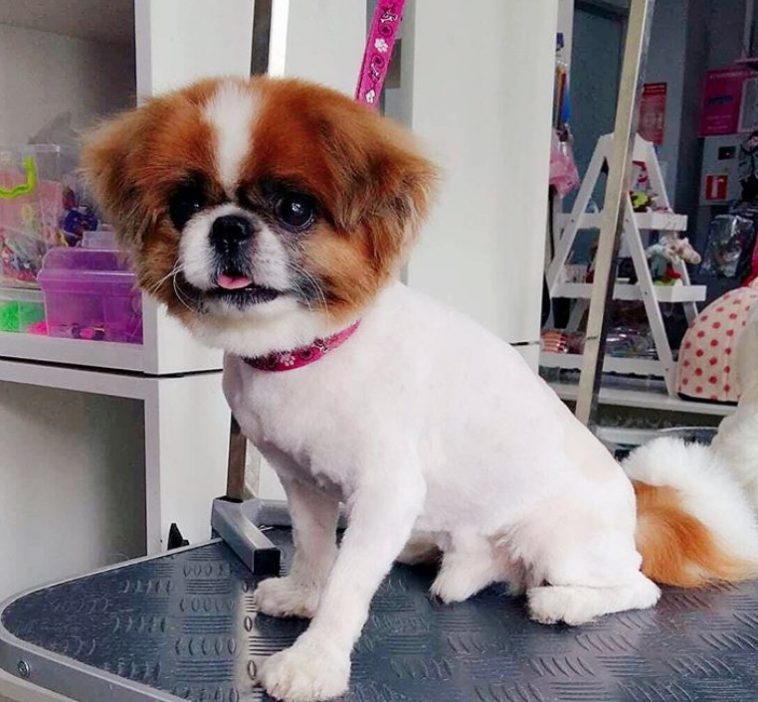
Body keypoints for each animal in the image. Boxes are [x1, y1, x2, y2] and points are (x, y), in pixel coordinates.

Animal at [83, 77, 758, 702]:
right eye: (186, 203)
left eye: (295, 209)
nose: (227, 227)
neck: (311, 356)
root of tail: (634, 503)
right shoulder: (303, 484)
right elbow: (313, 548)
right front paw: (303, 593)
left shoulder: (386, 493)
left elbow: (349, 584)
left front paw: (314, 663)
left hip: (559, 541)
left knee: (639, 587)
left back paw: (564, 602)